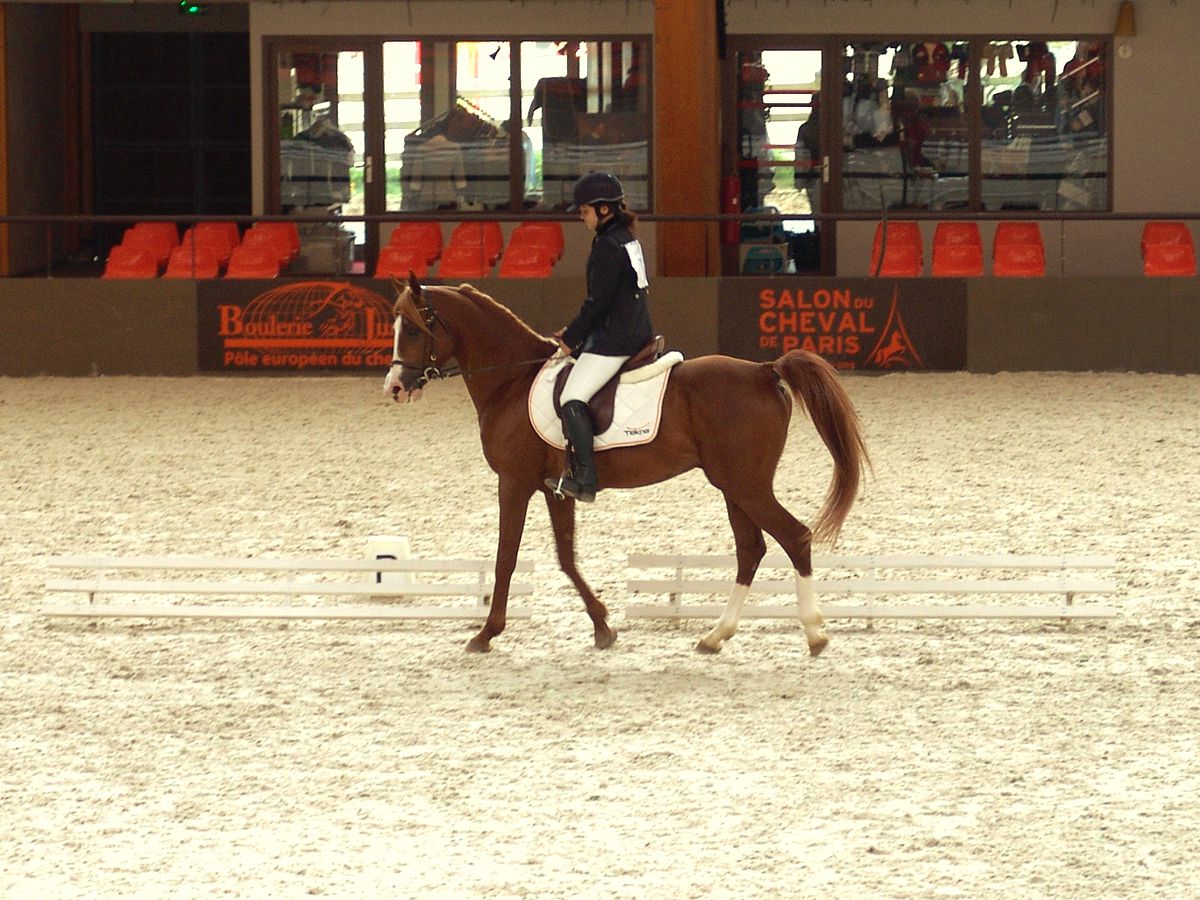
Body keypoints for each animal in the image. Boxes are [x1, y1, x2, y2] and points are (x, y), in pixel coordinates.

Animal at [386, 272, 868, 656]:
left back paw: (814, 634)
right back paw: (716, 636)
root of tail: (764, 370)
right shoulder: (554, 489)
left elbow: (507, 557)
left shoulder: (515, 482)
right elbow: (566, 557)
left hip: (746, 484)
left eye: (411, 328)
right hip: (734, 486)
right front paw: (603, 627)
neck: (511, 380)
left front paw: (487, 633)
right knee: (751, 550)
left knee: (794, 537)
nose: (394, 387)